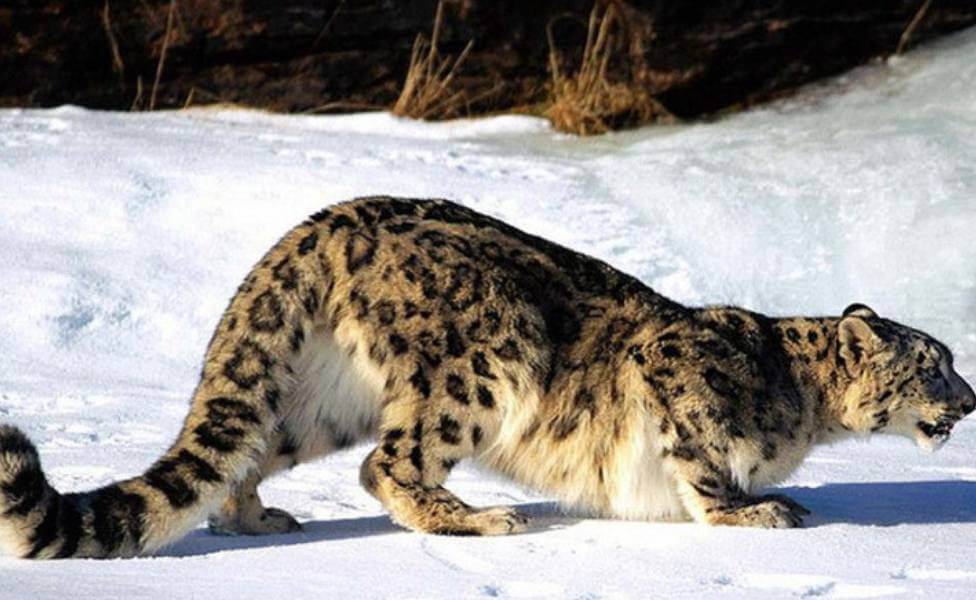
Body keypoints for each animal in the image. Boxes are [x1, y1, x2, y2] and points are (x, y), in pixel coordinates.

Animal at [1, 198, 976, 556]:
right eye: (935, 361)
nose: (971, 400)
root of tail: (321, 222)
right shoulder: (676, 372)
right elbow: (701, 464)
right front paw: (755, 510)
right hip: (490, 354)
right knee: (388, 464)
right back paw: (478, 518)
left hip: (318, 398)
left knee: (254, 446)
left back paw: (254, 517)